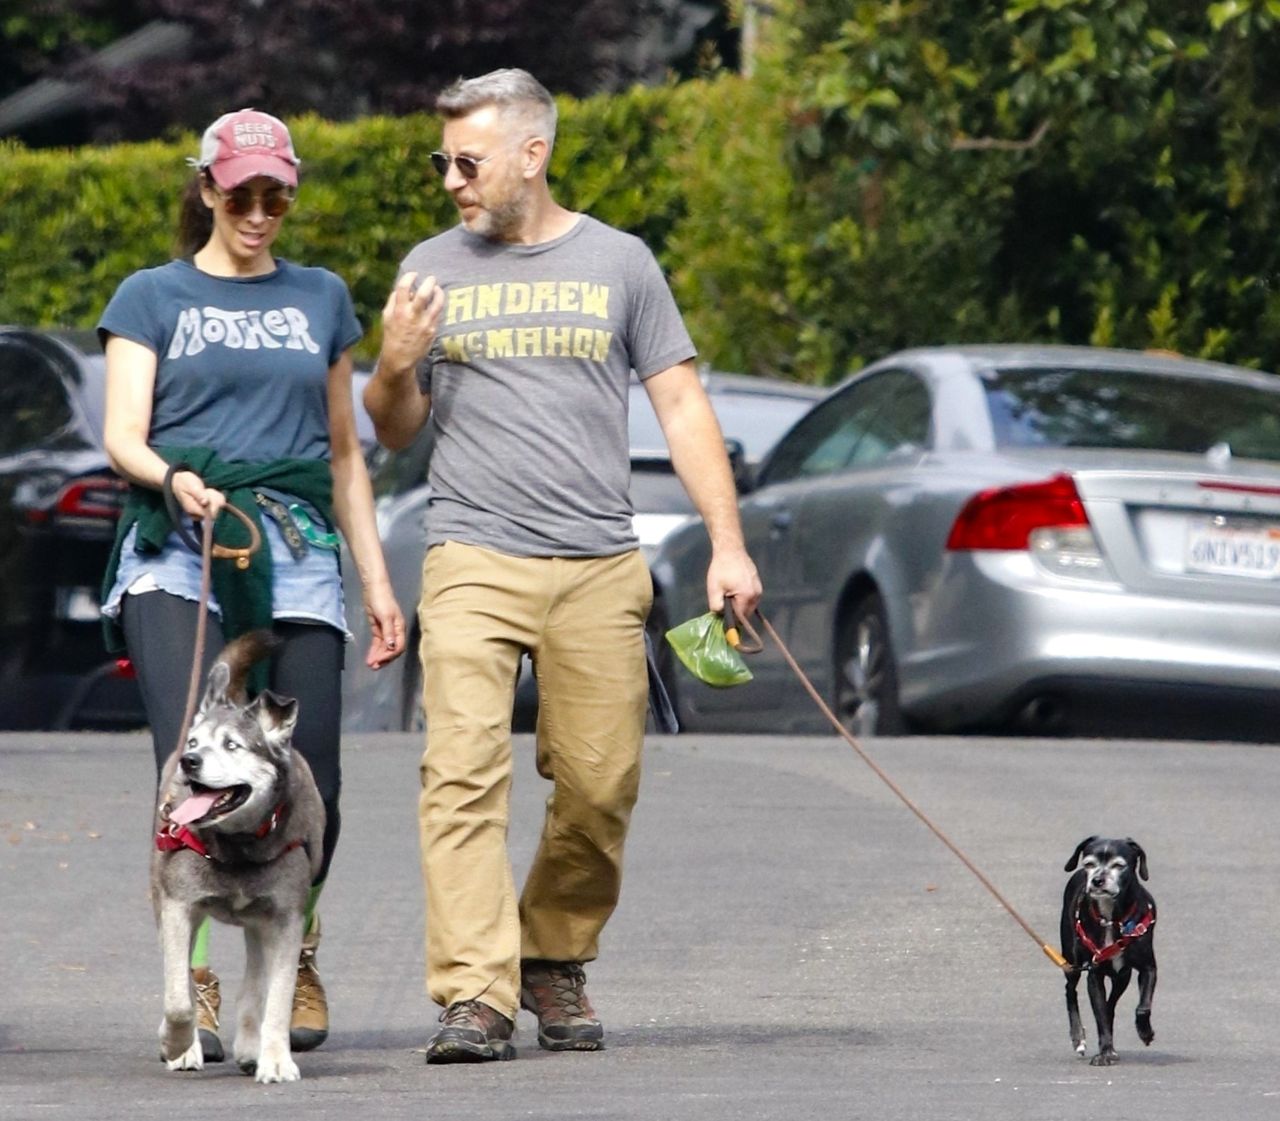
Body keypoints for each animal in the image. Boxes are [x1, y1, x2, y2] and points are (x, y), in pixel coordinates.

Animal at [151, 627, 325, 1080]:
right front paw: (176, 1043)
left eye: (233, 745)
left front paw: (275, 1059)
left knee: (254, 984)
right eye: (195, 742)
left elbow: (276, 998)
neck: (237, 847)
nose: (190, 761)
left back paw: (250, 1047)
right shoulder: (178, 907)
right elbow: (178, 997)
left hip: (261, 921)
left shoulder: (285, 919)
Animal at [1059, 834, 1162, 1064]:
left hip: (1122, 977)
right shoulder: (1094, 974)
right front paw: (1105, 1052)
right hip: (1072, 960)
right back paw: (1077, 1037)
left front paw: (1145, 1032)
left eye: (1118, 865)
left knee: (1111, 1005)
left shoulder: (1148, 968)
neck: (1112, 919)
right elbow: (1100, 1015)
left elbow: (1143, 1007)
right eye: (1089, 864)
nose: (1097, 880)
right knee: (1070, 991)